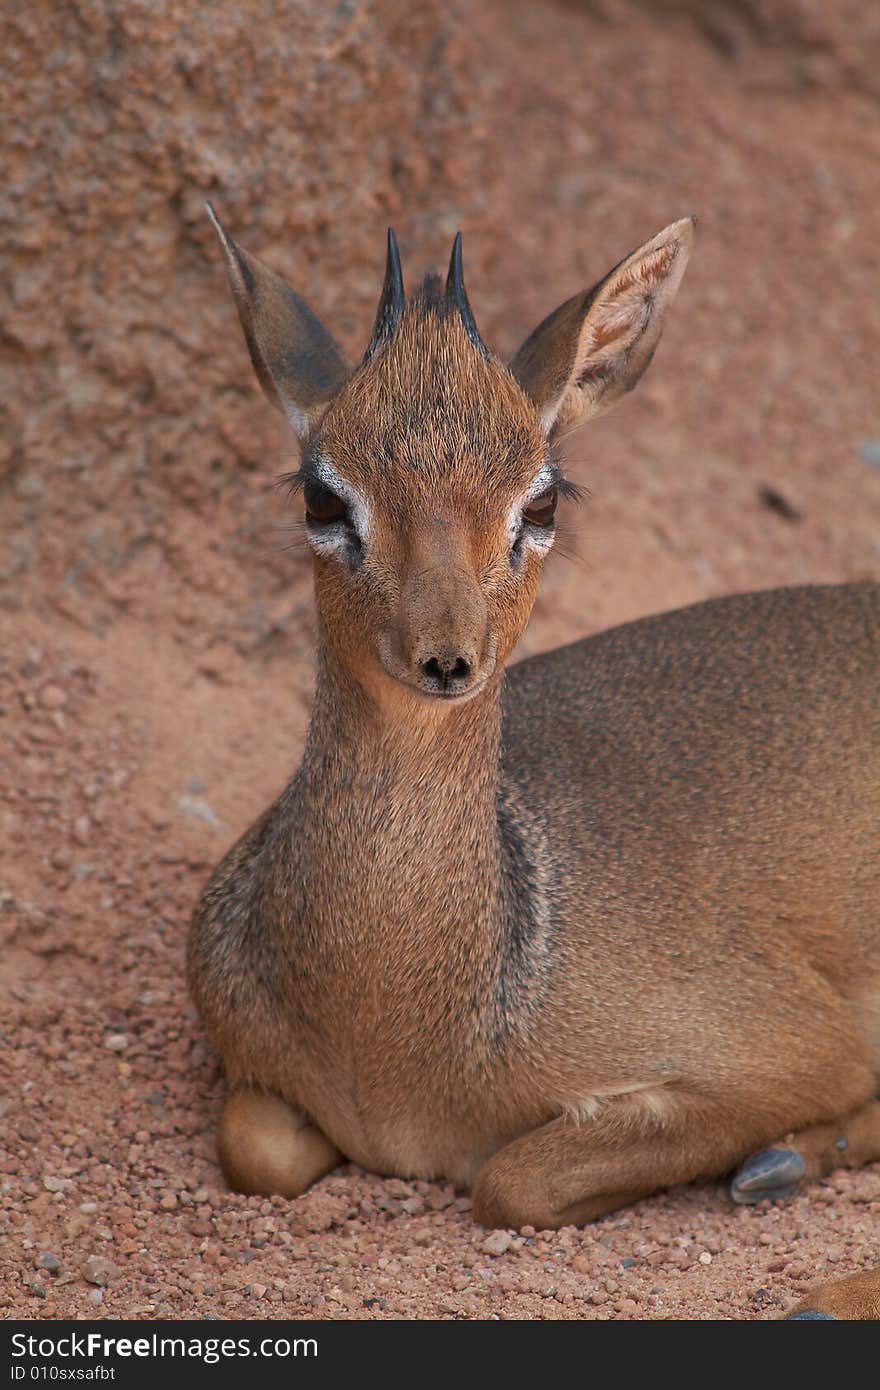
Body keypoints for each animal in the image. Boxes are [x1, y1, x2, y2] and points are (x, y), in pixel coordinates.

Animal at [190, 211, 878, 1317]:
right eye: (322, 496)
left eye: (543, 501)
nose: (445, 657)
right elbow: (255, 1149)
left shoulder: (785, 1044)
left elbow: (511, 1175)